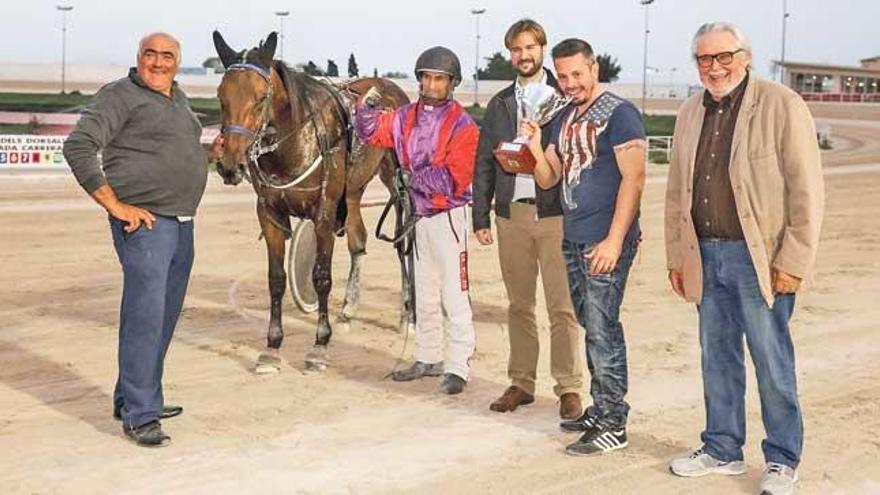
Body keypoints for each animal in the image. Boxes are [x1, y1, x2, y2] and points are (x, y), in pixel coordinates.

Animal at [215, 31, 414, 372]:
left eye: (260, 97)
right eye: (221, 96)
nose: (230, 166)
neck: (293, 144)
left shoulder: (324, 211)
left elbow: (321, 277)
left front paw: (319, 345)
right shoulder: (269, 213)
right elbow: (276, 279)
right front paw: (272, 347)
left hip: (395, 183)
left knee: (402, 245)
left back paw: (406, 316)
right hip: (353, 191)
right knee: (358, 241)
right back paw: (348, 309)